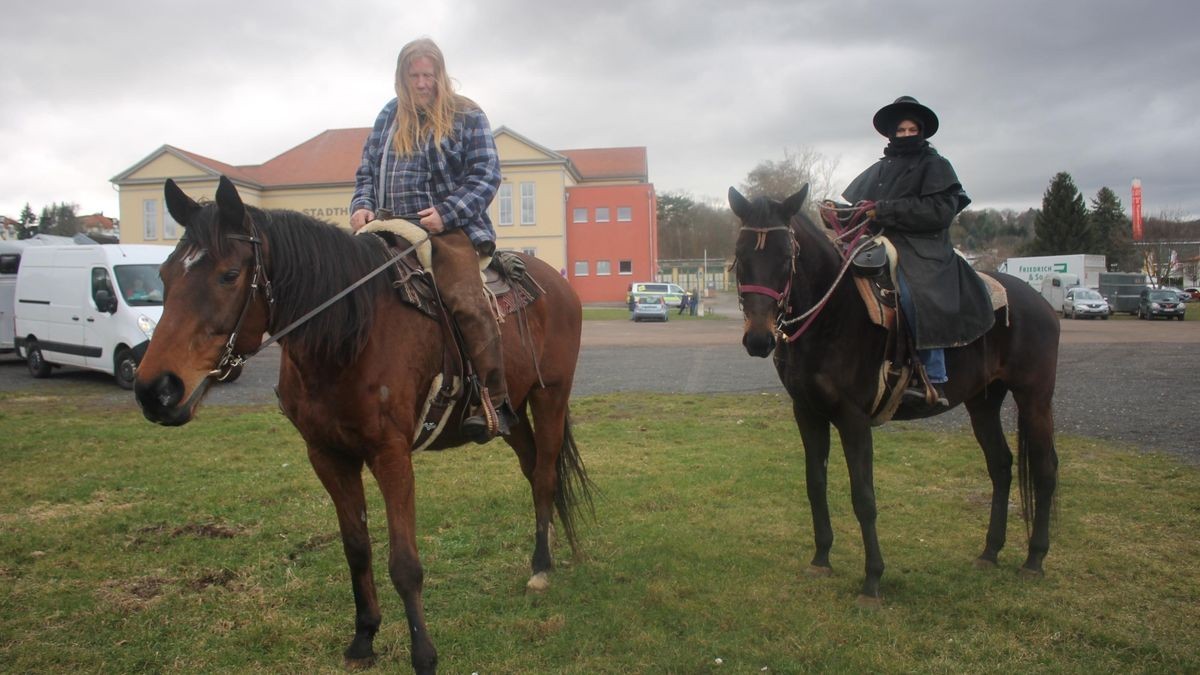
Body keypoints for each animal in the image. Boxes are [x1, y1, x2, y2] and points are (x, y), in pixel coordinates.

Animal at [133, 176, 592, 667]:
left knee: (544, 476)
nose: (155, 390)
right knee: (531, 467)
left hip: (550, 396)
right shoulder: (327, 455)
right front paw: (364, 637)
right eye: (164, 275)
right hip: (513, 412)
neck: (349, 334)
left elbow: (404, 563)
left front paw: (423, 655)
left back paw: (541, 567)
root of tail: (555, 283)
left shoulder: (391, 455)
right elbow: (356, 547)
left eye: (229, 274)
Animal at [729, 184, 1060, 605]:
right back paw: (990, 552)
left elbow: (864, 498)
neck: (832, 316)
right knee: (1001, 466)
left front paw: (872, 579)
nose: (759, 339)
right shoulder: (807, 413)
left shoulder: (853, 419)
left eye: (786, 257)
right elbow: (815, 484)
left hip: (1034, 397)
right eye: (741, 256)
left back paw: (1035, 559)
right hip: (983, 402)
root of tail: (1040, 303)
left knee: (1046, 469)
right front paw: (821, 559)